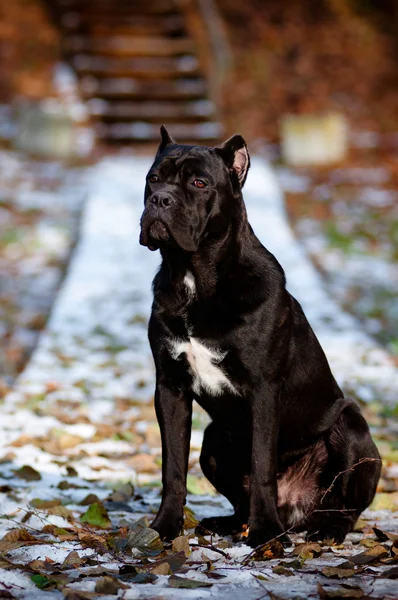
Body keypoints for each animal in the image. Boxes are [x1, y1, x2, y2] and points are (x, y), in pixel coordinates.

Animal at [138, 126, 380, 548]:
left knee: (346, 509)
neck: (194, 279)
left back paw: (321, 529)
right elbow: (173, 467)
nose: (160, 199)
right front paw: (165, 526)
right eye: (153, 178)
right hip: (214, 439)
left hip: (351, 427)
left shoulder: (264, 390)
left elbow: (263, 461)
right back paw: (229, 524)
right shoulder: (170, 388)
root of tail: (296, 511)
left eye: (199, 183)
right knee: (239, 499)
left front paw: (266, 533)